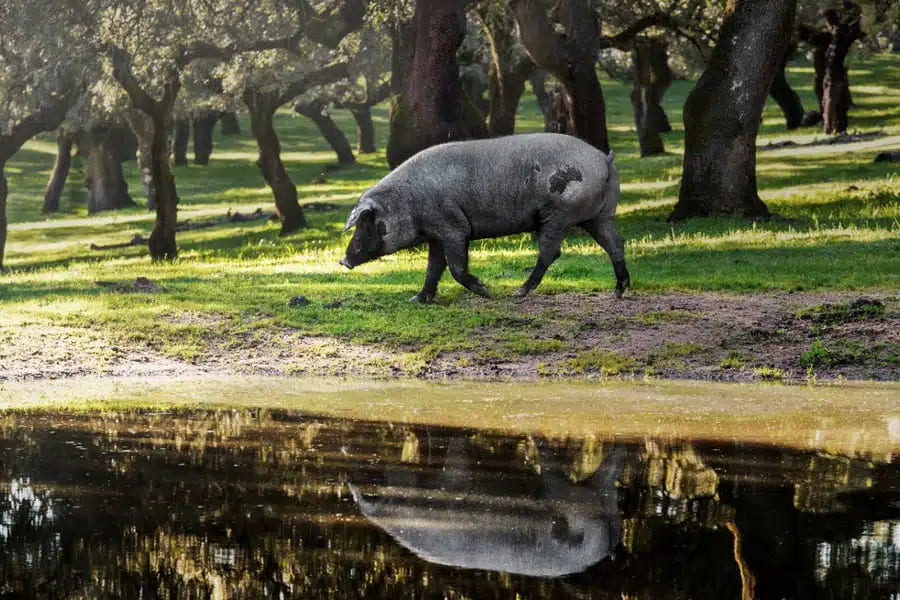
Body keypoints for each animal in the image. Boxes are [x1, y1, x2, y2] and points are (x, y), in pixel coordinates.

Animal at [342, 132, 628, 300]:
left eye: (365, 223)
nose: (343, 260)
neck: (407, 201)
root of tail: (604, 159)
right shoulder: (436, 234)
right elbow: (433, 268)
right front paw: (417, 299)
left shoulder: (452, 227)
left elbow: (455, 267)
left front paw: (486, 291)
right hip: (600, 215)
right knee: (615, 243)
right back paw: (618, 291)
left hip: (558, 213)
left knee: (551, 252)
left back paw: (518, 293)